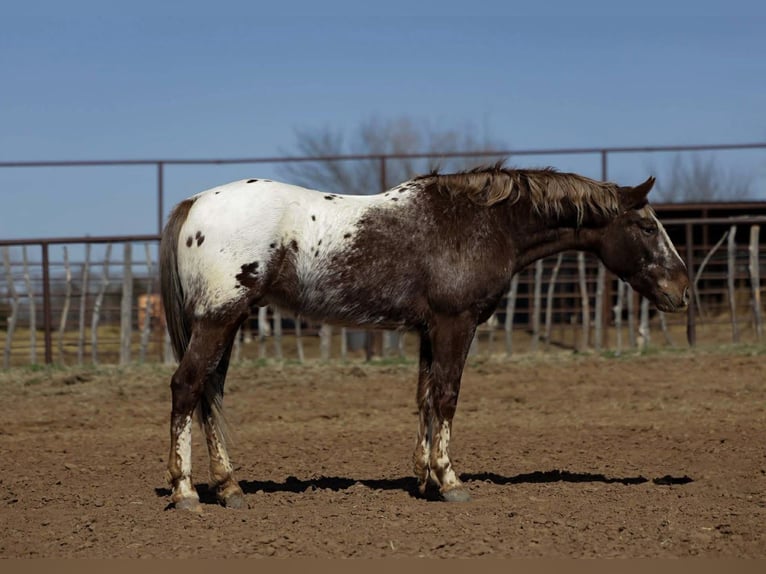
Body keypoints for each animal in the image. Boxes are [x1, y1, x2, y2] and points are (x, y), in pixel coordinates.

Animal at [159, 163, 689, 511]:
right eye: (646, 226)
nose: (682, 289)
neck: (481, 222)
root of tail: (194, 204)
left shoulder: (429, 329)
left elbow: (425, 398)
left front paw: (423, 478)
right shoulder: (456, 323)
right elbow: (448, 396)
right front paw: (450, 481)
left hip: (228, 322)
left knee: (209, 394)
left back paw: (229, 487)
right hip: (218, 319)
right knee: (187, 388)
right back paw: (186, 492)